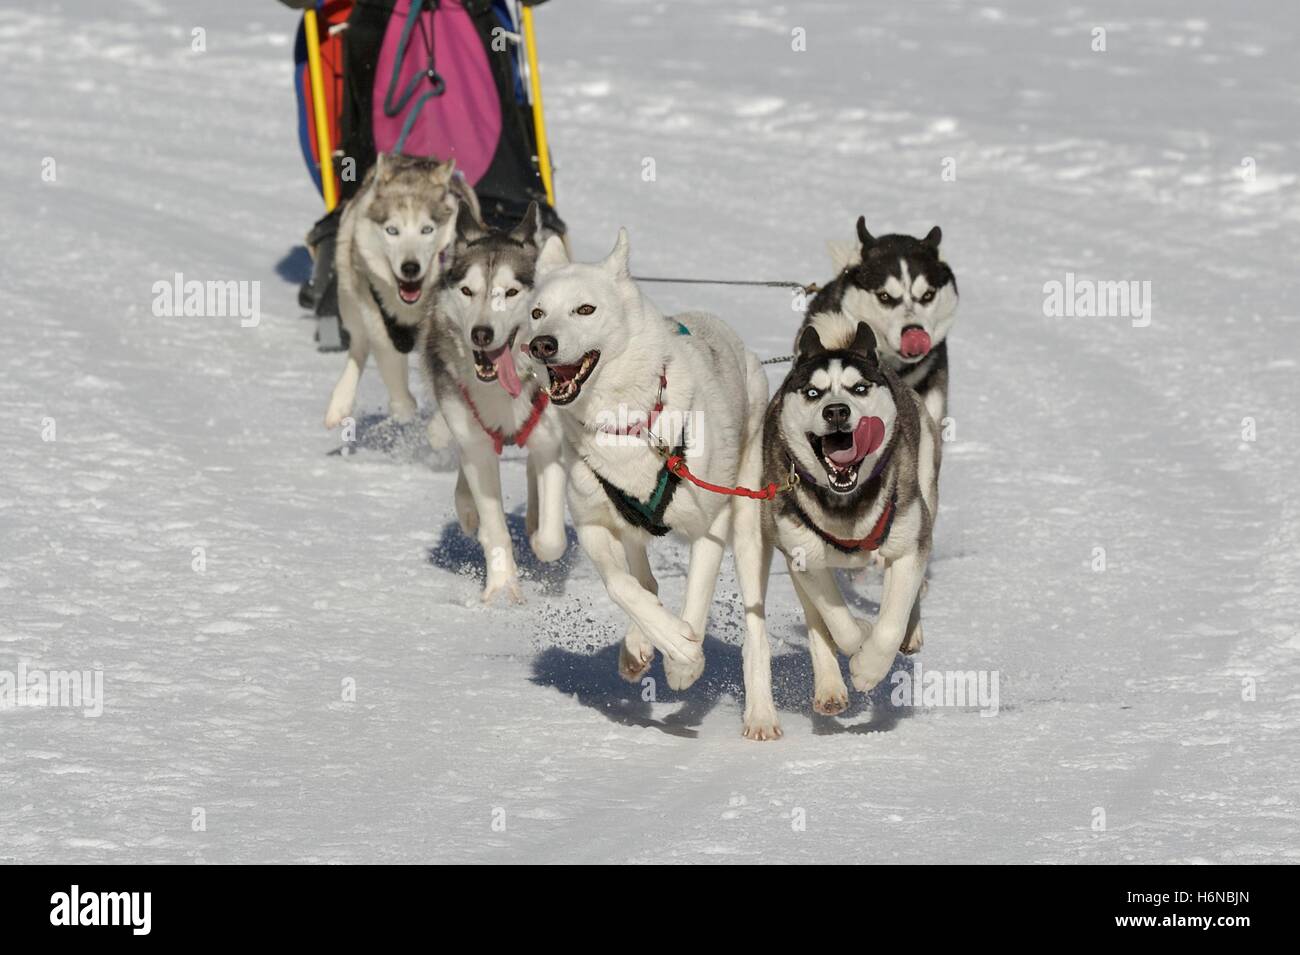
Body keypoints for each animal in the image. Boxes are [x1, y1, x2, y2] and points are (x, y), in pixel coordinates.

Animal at [325, 153, 483, 428]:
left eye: (427, 229)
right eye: (392, 230)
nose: (410, 267)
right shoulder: (381, 325)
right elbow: (396, 381)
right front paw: (405, 413)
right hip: (350, 297)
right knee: (358, 346)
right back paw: (340, 402)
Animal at [421, 202, 564, 605]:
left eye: (511, 292)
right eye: (468, 291)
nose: (481, 333)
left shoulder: (550, 443)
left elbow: (552, 539)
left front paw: (539, 538)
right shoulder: (476, 444)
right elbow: (494, 527)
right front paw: (501, 588)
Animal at [520, 229, 780, 738]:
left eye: (585, 309)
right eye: (538, 312)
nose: (541, 344)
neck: (627, 424)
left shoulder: (709, 526)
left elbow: (695, 596)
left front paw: (684, 660)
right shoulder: (594, 524)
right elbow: (623, 587)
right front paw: (665, 640)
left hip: (746, 518)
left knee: (754, 625)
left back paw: (760, 713)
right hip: (632, 525)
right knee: (646, 580)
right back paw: (638, 645)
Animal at [743, 320, 946, 717]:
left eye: (859, 388)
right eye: (812, 392)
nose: (836, 411)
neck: (846, 503)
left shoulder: (908, 544)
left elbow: (890, 623)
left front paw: (869, 669)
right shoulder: (804, 559)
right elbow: (838, 624)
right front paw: (860, 640)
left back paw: (910, 632)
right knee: (818, 625)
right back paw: (829, 686)